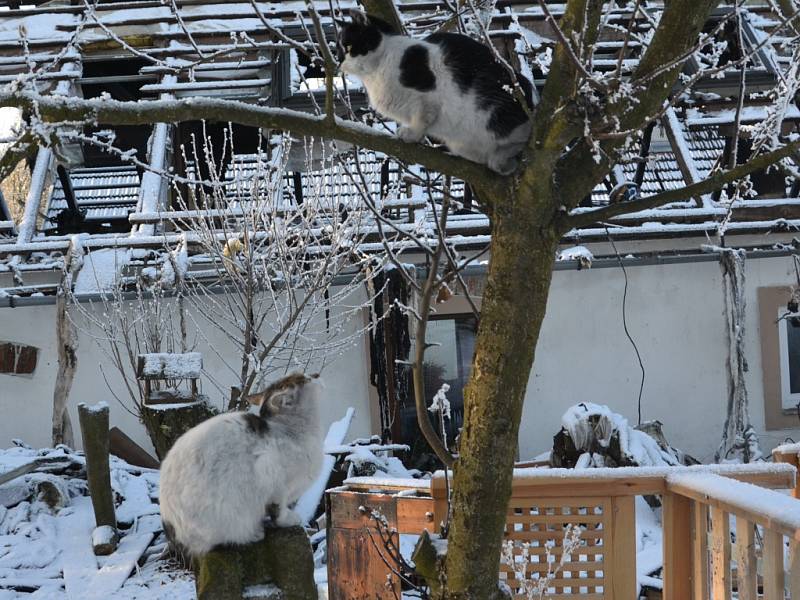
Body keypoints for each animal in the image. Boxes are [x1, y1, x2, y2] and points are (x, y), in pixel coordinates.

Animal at [159, 372, 322, 560]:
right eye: (304, 378)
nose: (316, 375)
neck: (291, 431)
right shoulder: (275, 483)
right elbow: (278, 512)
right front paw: (291, 519)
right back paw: (255, 534)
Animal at [336, 11, 532, 173]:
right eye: (338, 51)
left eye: (349, 47)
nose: (339, 62)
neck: (375, 74)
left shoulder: (426, 99)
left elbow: (422, 118)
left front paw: (411, 135)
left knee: (520, 140)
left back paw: (503, 158)